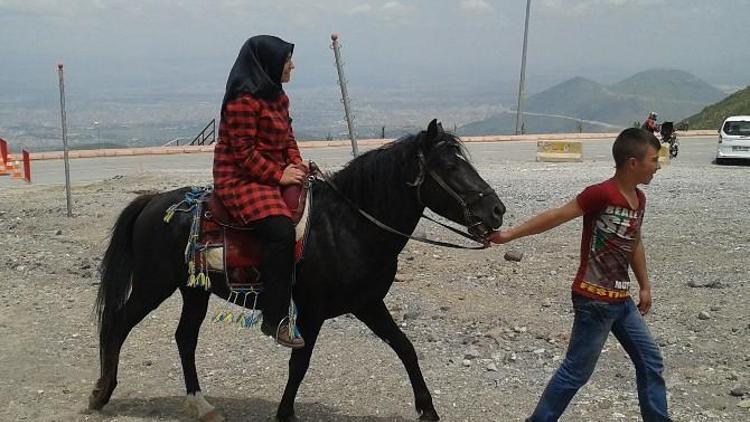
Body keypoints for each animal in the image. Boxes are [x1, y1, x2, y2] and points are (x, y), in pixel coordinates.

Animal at [91, 120, 508, 420]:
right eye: (449, 166)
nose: (497, 210)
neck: (349, 225)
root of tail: (152, 202)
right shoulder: (313, 310)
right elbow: (299, 363)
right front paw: (285, 413)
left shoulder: (368, 304)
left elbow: (405, 347)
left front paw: (427, 409)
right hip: (153, 284)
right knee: (117, 323)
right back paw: (101, 392)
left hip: (193, 290)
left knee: (184, 339)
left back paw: (200, 404)